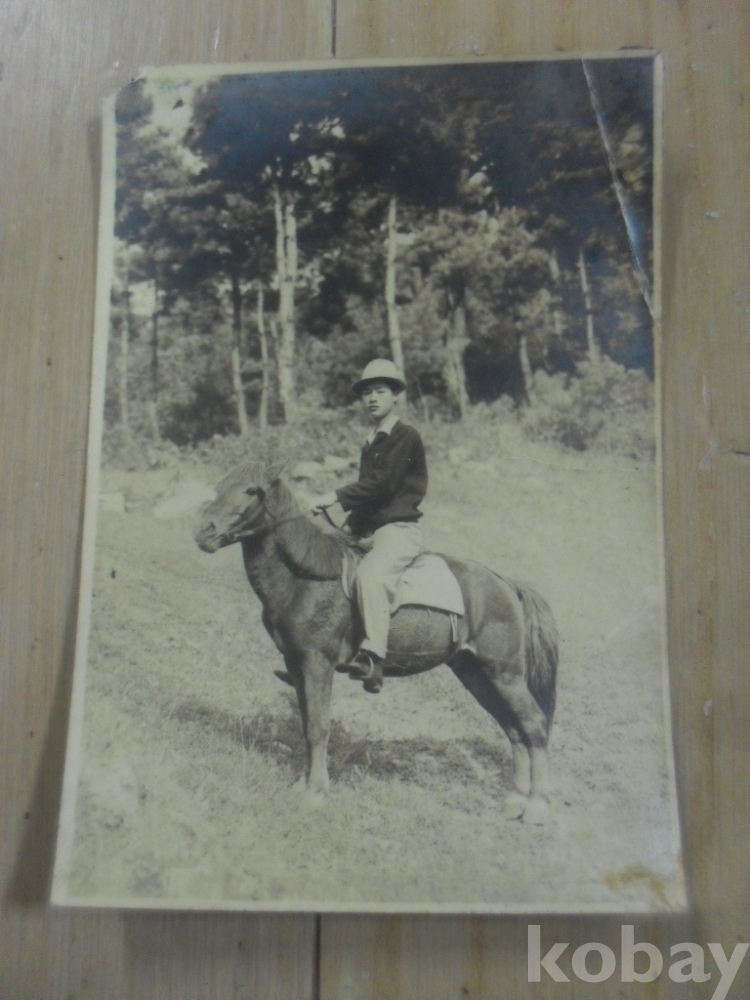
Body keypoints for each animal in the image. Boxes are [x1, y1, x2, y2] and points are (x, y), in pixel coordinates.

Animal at [195, 461, 558, 823]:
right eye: (220, 486)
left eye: (251, 491)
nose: (203, 533)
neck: (306, 576)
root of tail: (508, 585)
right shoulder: (296, 663)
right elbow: (306, 724)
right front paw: (302, 784)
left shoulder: (317, 662)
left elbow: (318, 726)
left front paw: (315, 791)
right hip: (476, 675)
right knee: (513, 729)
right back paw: (515, 800)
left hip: (505, 675)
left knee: (534, 725)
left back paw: (537, 805)